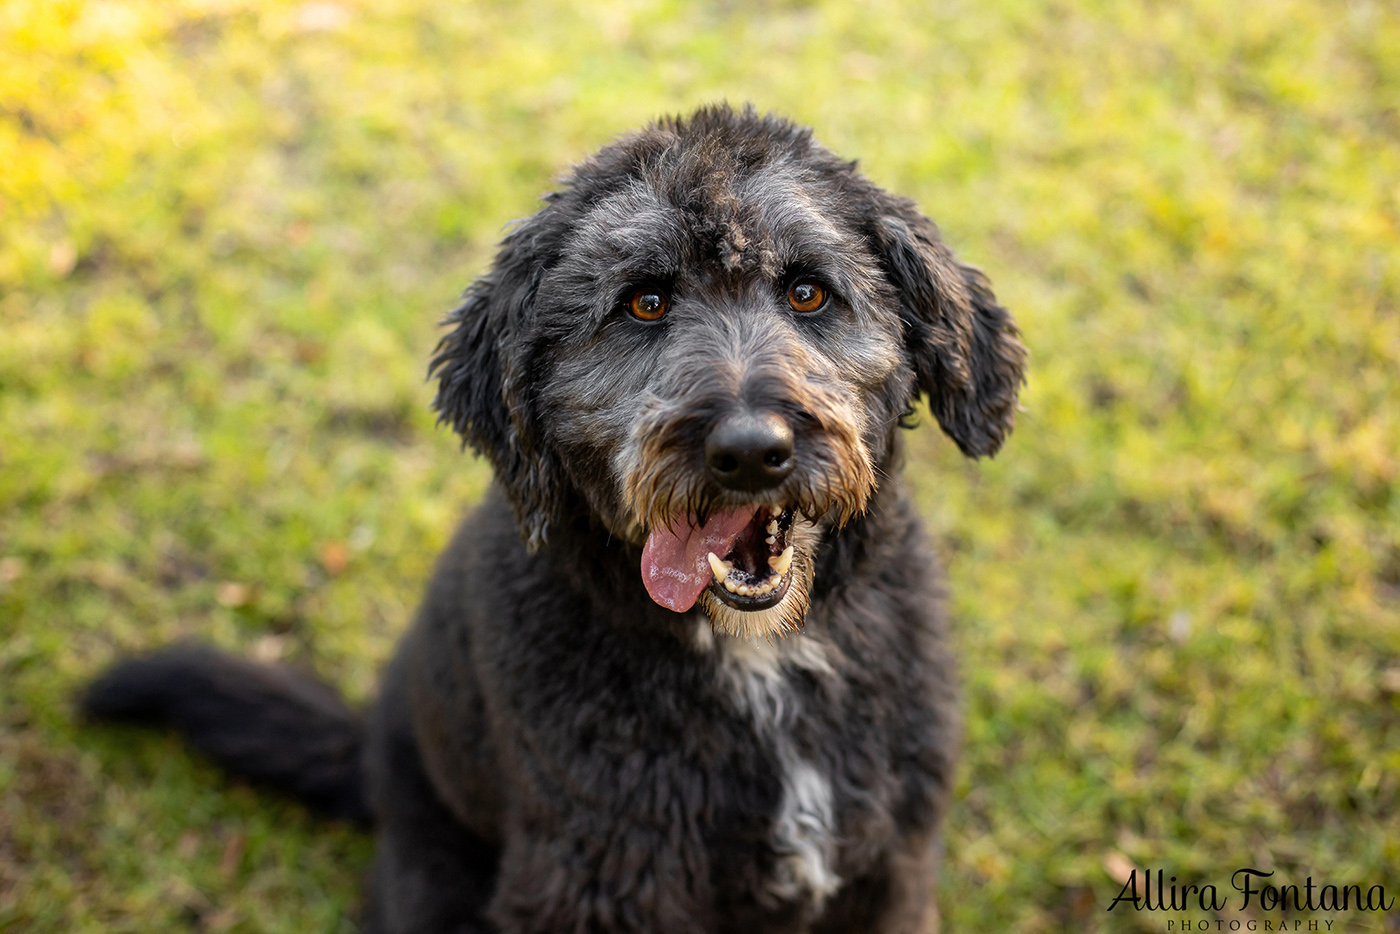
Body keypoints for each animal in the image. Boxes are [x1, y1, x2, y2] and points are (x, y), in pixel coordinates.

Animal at [90, 105, 1030, 934]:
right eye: (644, 303)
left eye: (807, 291)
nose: (750, 451)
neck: (756, 660)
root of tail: (371, 757)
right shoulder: (594, 879)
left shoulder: (887, 866)